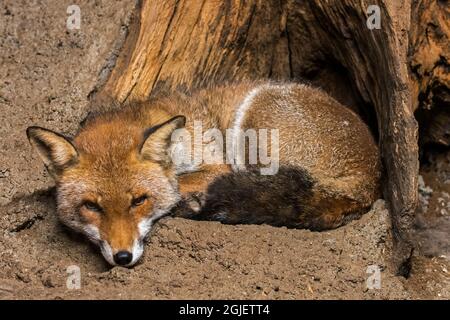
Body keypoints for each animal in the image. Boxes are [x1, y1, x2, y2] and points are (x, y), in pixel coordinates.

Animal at [26, 81, 380, 266]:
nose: (123, 256)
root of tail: (372, 178)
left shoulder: (218, 164)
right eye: (92, 207)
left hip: (254, 120)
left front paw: (180, 200)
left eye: (139, 201)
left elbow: (177, 183)